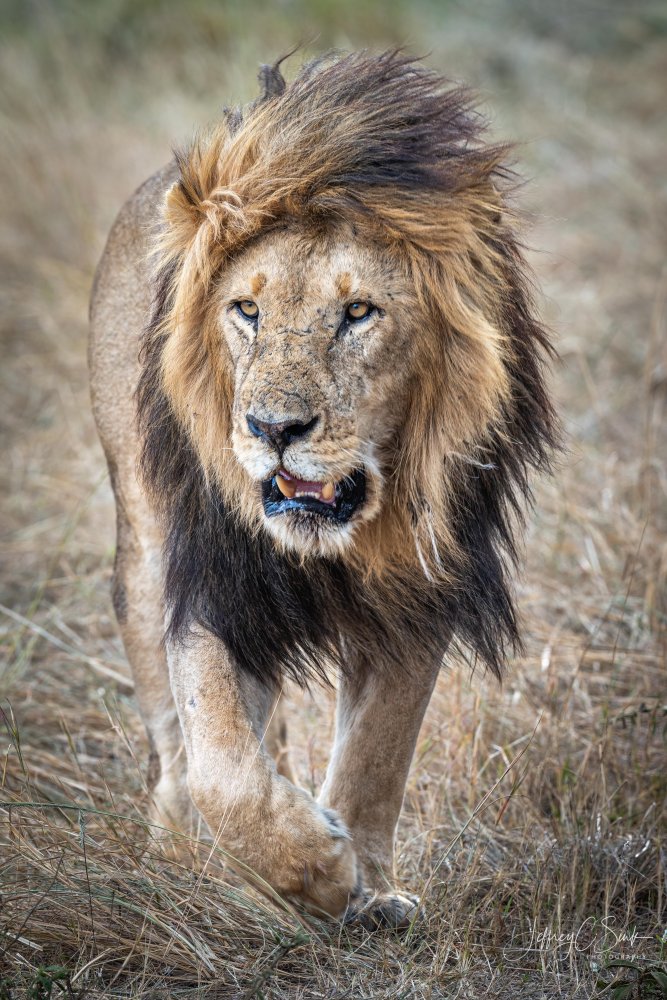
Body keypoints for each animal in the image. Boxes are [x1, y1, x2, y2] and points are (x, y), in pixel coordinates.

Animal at [88, 52, 560, 928]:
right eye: (246, 309)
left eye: (358, 312)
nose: (273, 427)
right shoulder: (212, 573)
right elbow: (219, 762)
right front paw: (311, 870)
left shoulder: (419, 587)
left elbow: (378, 754)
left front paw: (364, 889)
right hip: (143, 548)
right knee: (175, 743)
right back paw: (178, 853)